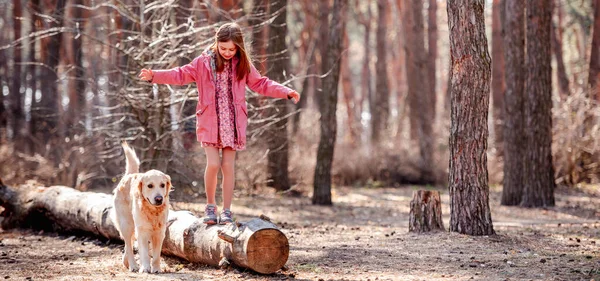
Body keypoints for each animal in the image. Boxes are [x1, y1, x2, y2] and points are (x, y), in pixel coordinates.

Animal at [112, 141, 171, 272]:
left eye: (162, 185)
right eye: (150, 186)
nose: (159, 199)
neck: (152, 211)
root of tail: (129, 175)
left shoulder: (160, 233)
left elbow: (156, 255)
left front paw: (156, 269)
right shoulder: (142, 231)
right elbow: (144, 252)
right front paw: (145, 268)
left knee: (128, 245)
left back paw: (126, 262)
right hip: (126, 225)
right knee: (128, 245)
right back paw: (133, 265)